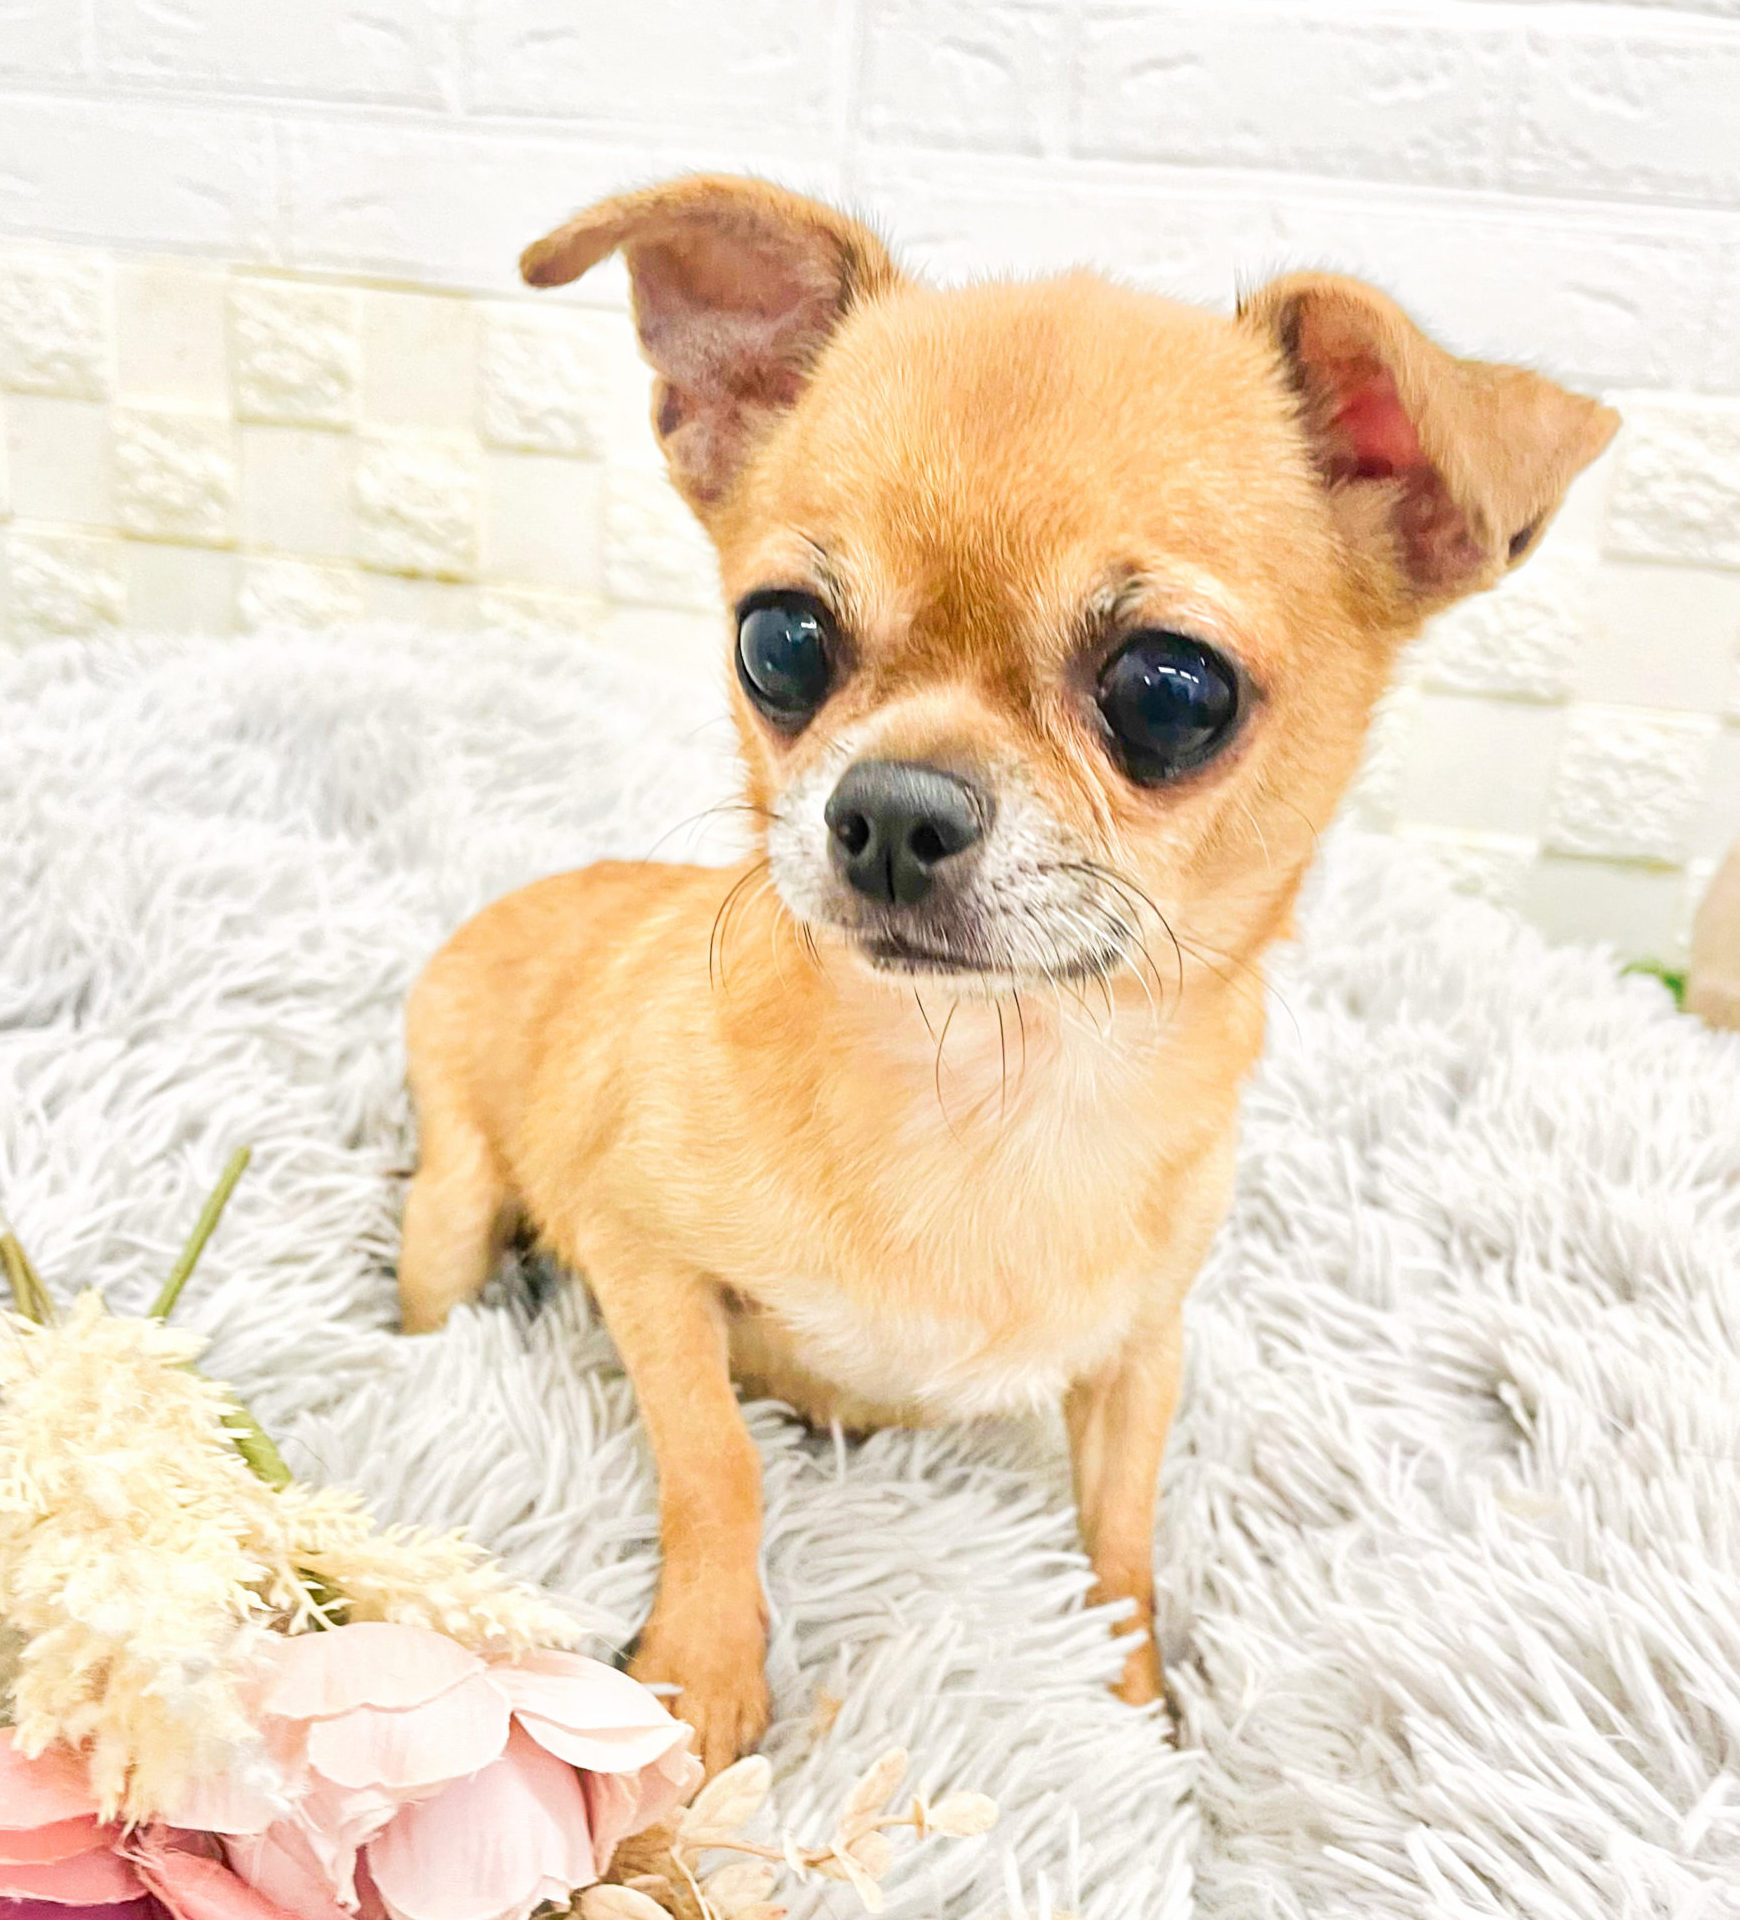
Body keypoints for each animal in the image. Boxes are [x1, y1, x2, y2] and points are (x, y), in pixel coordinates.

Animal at [397, 174, 1617, 1772]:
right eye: (779, 641)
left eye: (1172, 692)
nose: (889, 810)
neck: (988, 1076)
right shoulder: (643, 1261)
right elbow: (719, 1462)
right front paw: (705, 1675)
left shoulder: (1140, 1358)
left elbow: (1124, 1545)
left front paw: (1136, 1714)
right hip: (456, 1201)